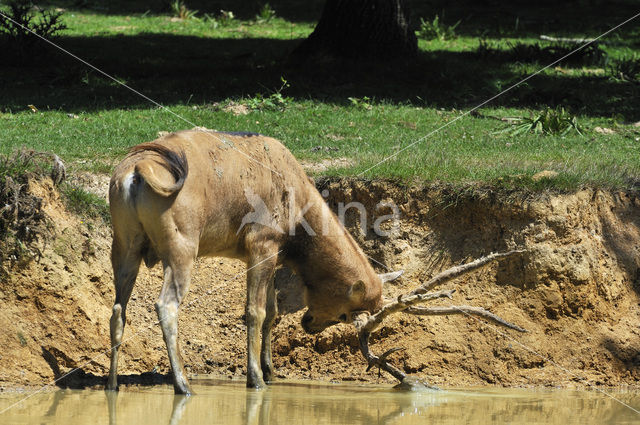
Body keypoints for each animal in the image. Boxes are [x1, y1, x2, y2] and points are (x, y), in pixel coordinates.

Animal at [107, 130, 402, 394]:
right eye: (344, 315)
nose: (309, 325)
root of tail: (137, 171)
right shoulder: (262, 243)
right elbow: (255, 311)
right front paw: (256, 378)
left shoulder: (272, 254)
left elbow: (272, 311)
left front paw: (271, 371)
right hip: (181, 245)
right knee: (166, 305)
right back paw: (183, 384)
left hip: (123, 243)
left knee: (118, 310)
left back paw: (112, 383)